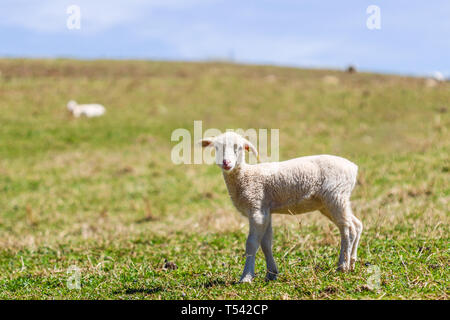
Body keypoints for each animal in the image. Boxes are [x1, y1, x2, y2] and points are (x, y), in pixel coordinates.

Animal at [200, 132, 362, 282]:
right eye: (216, 147)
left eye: (238, 148)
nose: (226, 163)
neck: (246, 176)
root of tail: (353, 168)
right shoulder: (265, 210)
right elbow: (266, 243)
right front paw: (271, 273)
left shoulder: (256, 208)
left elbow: (252, 244)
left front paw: (246, 277)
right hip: (330, 203)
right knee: (356, 225)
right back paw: (352, 263)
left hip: (335, 196)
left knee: (347, 229)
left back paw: (342, 265)